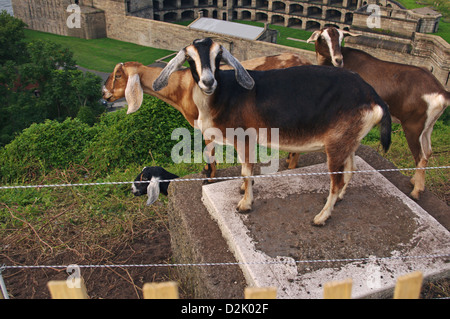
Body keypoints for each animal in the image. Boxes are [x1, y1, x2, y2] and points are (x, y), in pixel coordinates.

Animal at [152, 38, 390, 226]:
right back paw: (340, 198)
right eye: (190, 58)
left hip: (336, 142)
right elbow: (246, 170)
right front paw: (243, 189)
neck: (224, 95)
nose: (208, 81)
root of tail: (373, 97)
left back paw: (321, 217)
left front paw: (245, 204)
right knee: (350, 170)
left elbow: (246, 171)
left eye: (218, 56)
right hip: (348, 139)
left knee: (337, 180)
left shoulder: (244, 137)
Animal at [306, 26, 450, 200]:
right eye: (323, 38)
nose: (338, 59)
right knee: (428, 152)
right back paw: (414, 181)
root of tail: (442, 92)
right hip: (428, 126)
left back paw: (416, 191)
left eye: (341, 38)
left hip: (413, 126)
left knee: (420, 156)